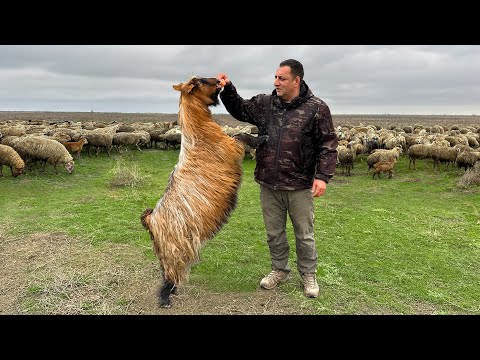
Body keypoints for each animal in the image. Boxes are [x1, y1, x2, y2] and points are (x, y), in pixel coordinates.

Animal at [141, 75, 268, 306]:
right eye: (199, 81)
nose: (219, 79)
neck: (198, 129)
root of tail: (150, 220)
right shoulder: (232, 148)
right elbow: (242, 136)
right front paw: (262, 138)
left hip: (163, 252)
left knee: (165, 271)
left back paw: (173, 292)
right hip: (175, 249)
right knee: (170, 274)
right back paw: (165, 298)